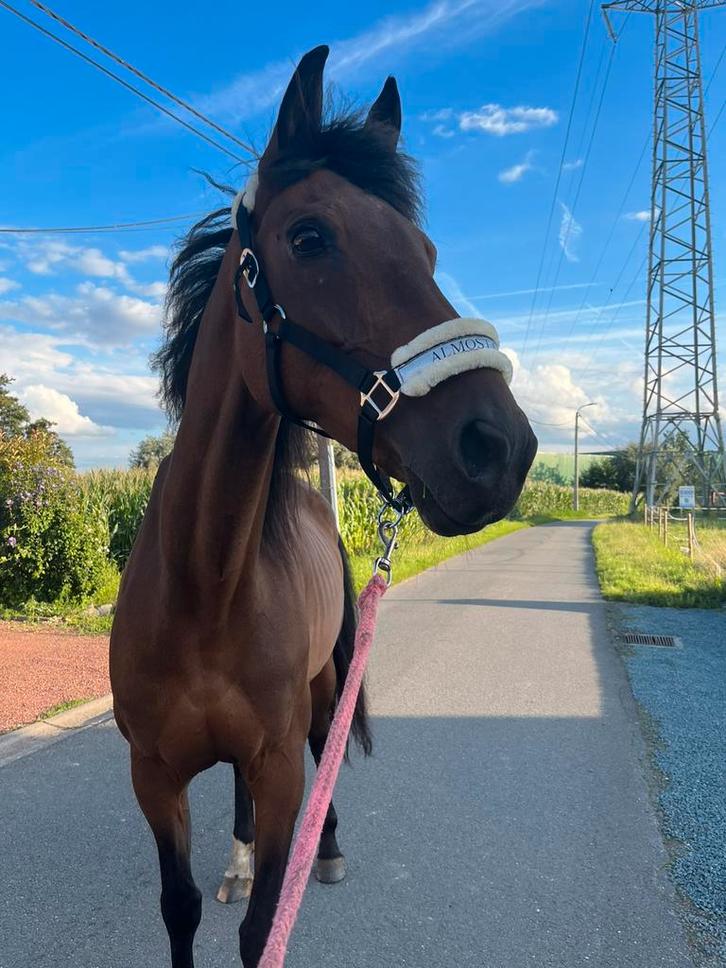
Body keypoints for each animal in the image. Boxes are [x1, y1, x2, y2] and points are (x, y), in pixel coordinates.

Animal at [110, 44, 536, 968]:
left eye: (426, 249)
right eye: (310, 237)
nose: (500, 448)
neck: (204, 587)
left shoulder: (279, 767)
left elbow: (263, 925)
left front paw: (296, 867)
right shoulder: (153, 776)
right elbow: (180, 908)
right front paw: (223, 879)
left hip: (325, 682)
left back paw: (327, 848)